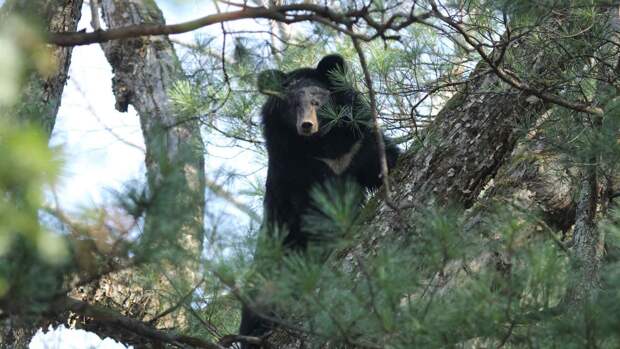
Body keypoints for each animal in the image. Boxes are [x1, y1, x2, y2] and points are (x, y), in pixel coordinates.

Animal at [240, 53, 400, 346]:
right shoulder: (294, 171)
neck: (321, 146)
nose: (306, 125)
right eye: (292, 105)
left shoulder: (355, 145)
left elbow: (383, 158)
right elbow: (315, 217)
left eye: (317, 101)